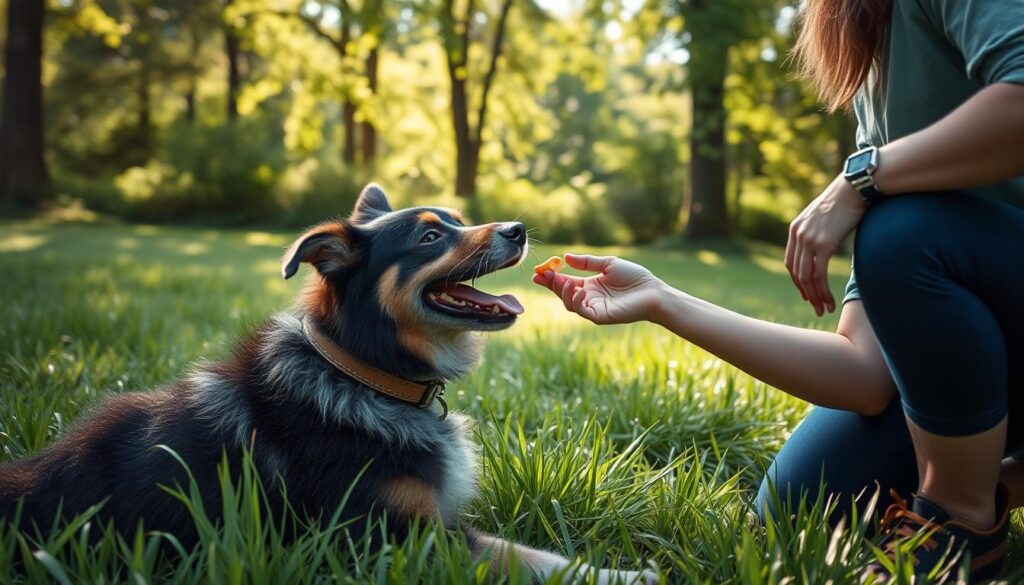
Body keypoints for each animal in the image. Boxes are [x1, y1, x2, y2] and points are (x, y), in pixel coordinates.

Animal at [0, 185, 655, 581]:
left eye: (458, 220)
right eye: (429, 237)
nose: (518, 228)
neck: (361, 375)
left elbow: (532, 554)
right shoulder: (400, 540)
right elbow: (528, 560)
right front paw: (627, 575)